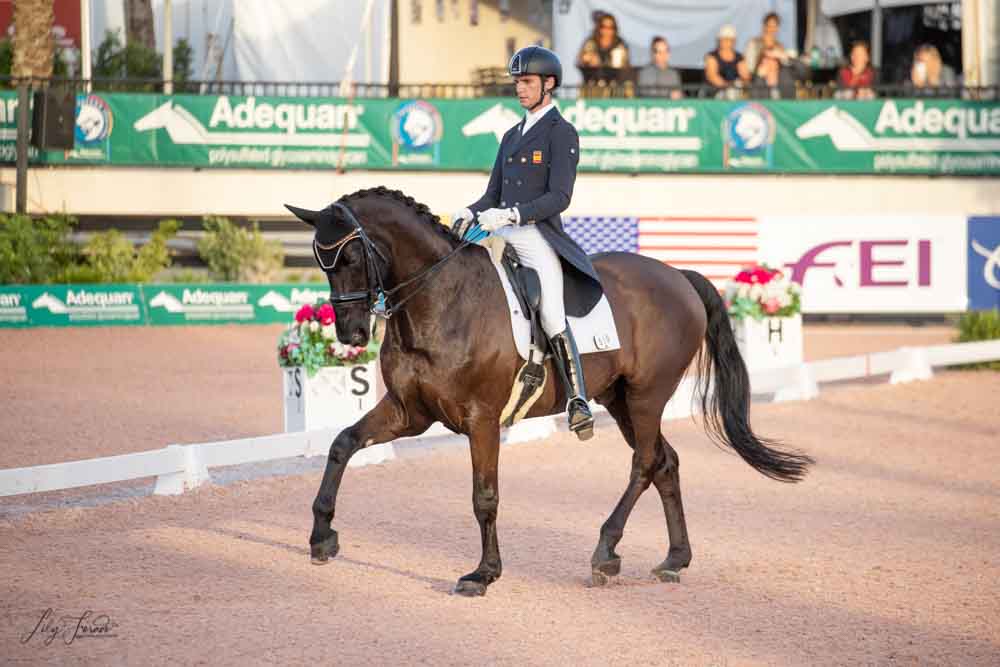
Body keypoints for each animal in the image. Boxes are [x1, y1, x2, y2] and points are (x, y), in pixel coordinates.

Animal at [288, 185, 812, 596]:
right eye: (320, 261)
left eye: (352, 256)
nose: (352, 334)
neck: (440, 301)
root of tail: (676, 275)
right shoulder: (407, 413)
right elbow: (342, 444)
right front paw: (321, 536)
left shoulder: (481, 419)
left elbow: (485, 496)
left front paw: (483, 574)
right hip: (620, 400)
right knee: (665, 462)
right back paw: (672, 560)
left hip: (647, 396)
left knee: (644, 463)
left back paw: (605, 552)